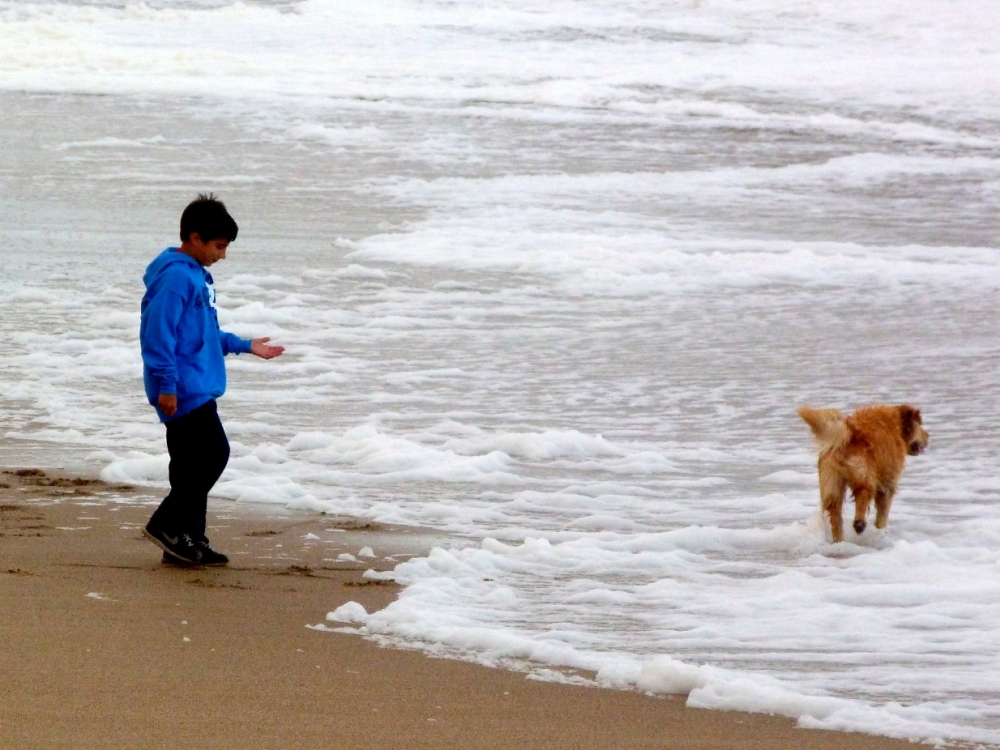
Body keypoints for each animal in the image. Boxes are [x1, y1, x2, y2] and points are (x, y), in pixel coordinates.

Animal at [796, 408, 928, 544]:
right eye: (920, 425)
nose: (928, 435)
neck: (897, 426)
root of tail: (849, 433)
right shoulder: (887, 484)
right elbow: (883, 514)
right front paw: (880, 532)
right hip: (863, 474)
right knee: (863, 493)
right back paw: (859, 524)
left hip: (831, 480)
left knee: (834, 512)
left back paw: (839, 539)